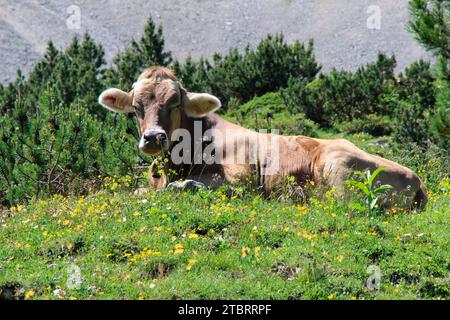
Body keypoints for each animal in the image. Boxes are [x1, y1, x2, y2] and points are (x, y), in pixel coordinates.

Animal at [99, 66, 428, 210]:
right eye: (137, 107)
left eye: (174, 104)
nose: (153, 137)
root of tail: (417, 179)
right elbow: (141, 191)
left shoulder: (243, 178)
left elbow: (190, 187)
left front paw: (185, 186)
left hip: (338, 166)